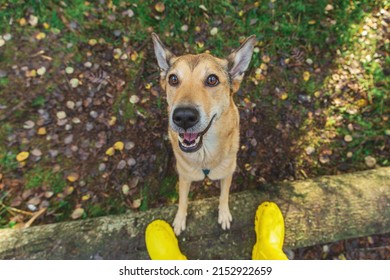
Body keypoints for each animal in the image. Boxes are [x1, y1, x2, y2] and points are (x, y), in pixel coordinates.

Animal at [152, 32, 256, 235]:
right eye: (173, 79)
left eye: (212, 80)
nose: (184, 117)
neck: (204, 156)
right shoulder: (184, 176)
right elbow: (182, 200)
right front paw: (179, 219)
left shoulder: (227, 174)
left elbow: (224, 195)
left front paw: (224, 214)